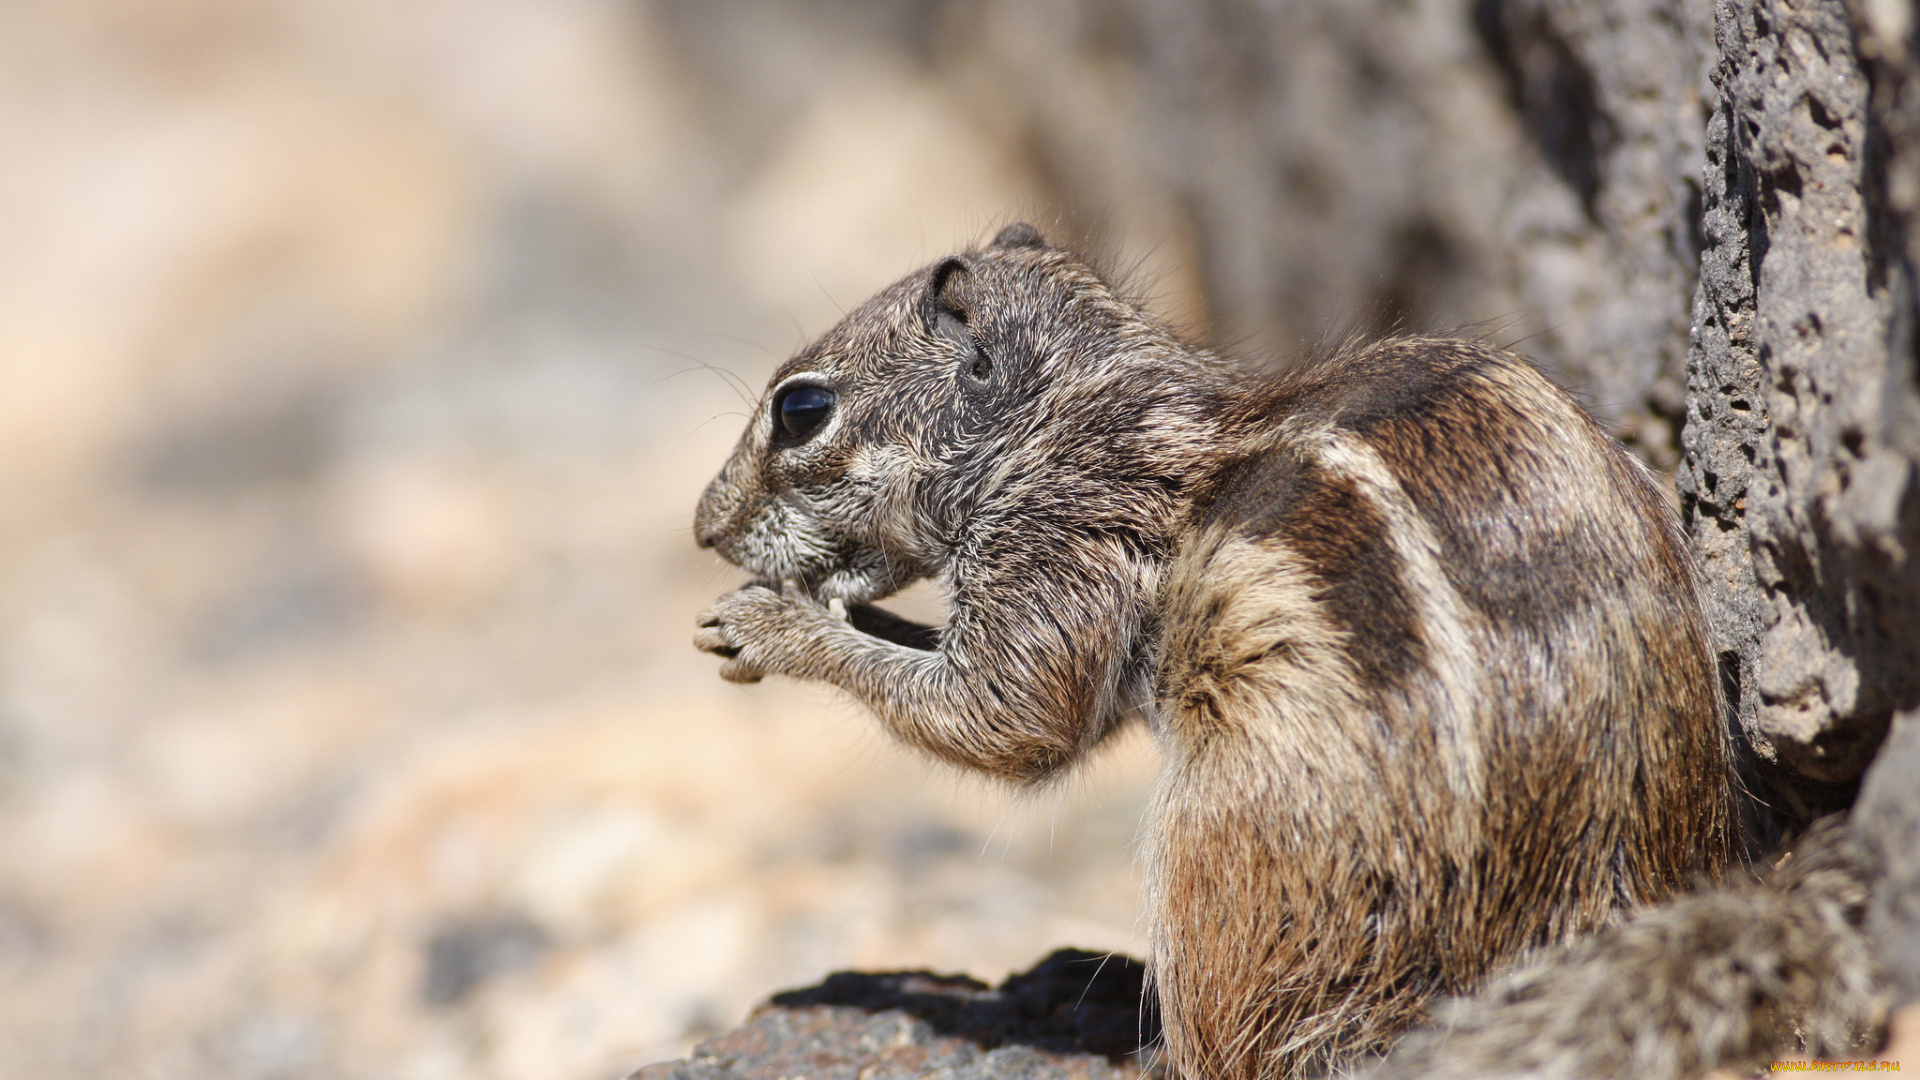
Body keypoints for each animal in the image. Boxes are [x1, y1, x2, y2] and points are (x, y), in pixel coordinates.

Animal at [698, 222, 1735, 1068]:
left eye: (801, 411)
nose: (706, 528)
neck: (1070, 414)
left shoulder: (1060, 542)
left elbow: (1007, 717)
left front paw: (767, 624)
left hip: (1220, 846)